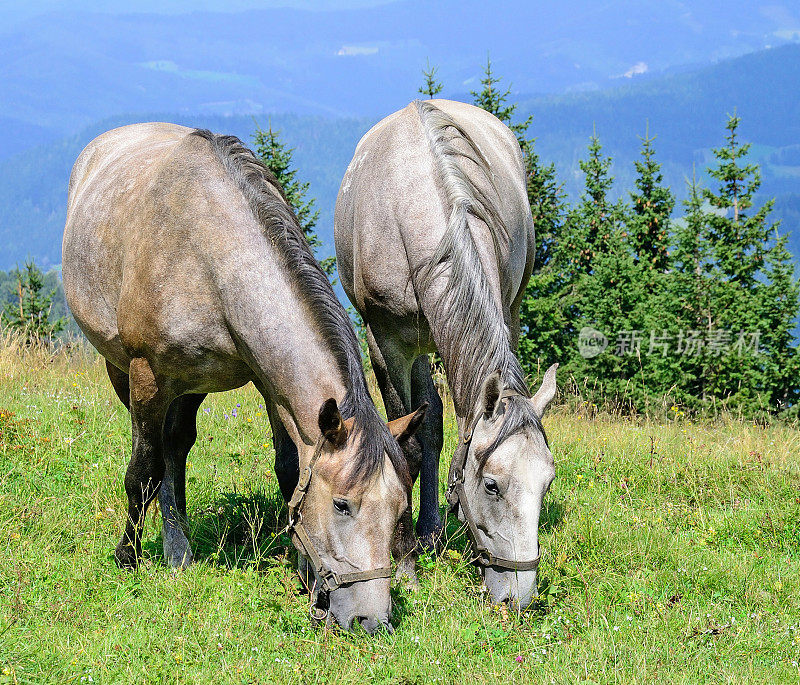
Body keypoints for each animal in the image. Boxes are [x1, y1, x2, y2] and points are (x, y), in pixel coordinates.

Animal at [61, 123, 424, 632]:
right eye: (342, 505)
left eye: (399, 508)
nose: (371, 621)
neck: (211, 257)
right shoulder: (147, 377)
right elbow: (142, 472)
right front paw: (127, 558)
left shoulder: (269, 383)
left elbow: (289, 469)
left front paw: (304, 573)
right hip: (125, 372)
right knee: (158, 457)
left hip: (190, 388)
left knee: (176, 446)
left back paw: (178, 548)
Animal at [336, 97, 556, 608]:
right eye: (492, 486)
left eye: (546, 483)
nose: (518, 598)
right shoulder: (386, 344)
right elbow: (406, 441)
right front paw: (405, 559)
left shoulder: (505, 314)